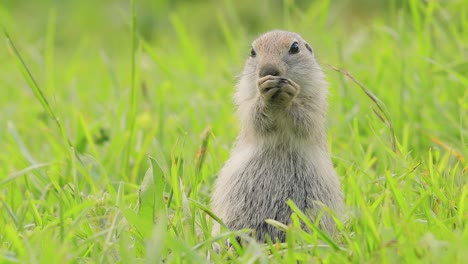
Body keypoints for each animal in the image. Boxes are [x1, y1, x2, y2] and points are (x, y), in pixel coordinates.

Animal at [212, 29, 344, 242]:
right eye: (252, 51)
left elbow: (307, 119)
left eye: (295, 47)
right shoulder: (245, 98)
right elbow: (253, 116)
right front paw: (264, 94)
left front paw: (290, 94)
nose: (268, 70)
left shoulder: (316, 99)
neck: (277, 103)